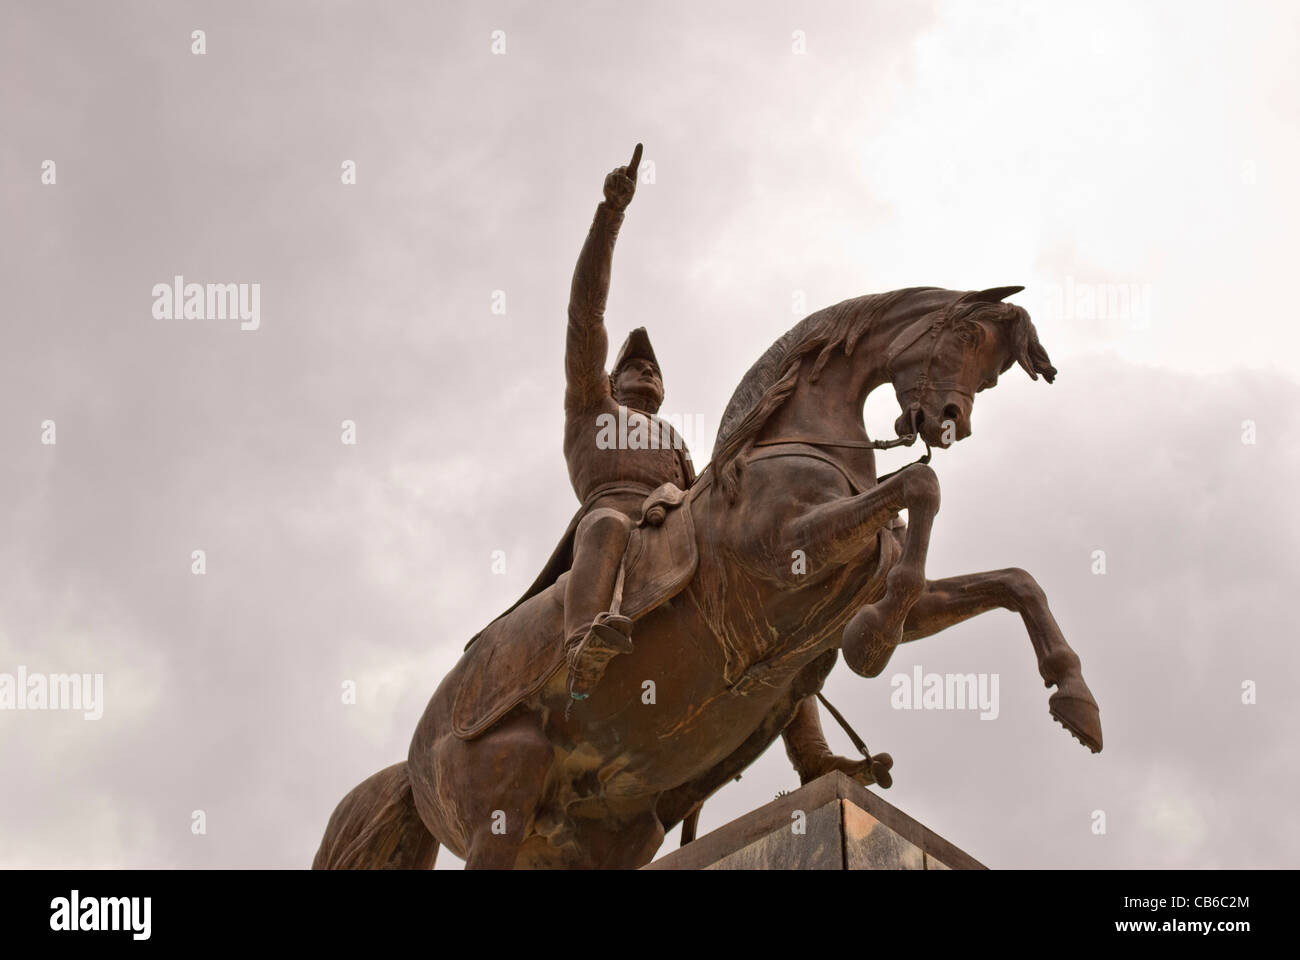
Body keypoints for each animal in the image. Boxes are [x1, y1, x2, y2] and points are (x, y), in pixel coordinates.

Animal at [312, 282, 1097, 868]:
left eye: (993, 368)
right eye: (963, 340)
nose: (948, 422)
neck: (798, 442)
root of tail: (411, 762)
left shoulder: (849, 590)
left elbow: (1013, 580)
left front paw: (1076, 702)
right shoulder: (784, 552)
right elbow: (922, 492)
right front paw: (871, 644)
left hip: (611, 837)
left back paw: (833, 771)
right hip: (501, 802)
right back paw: (591, 645)